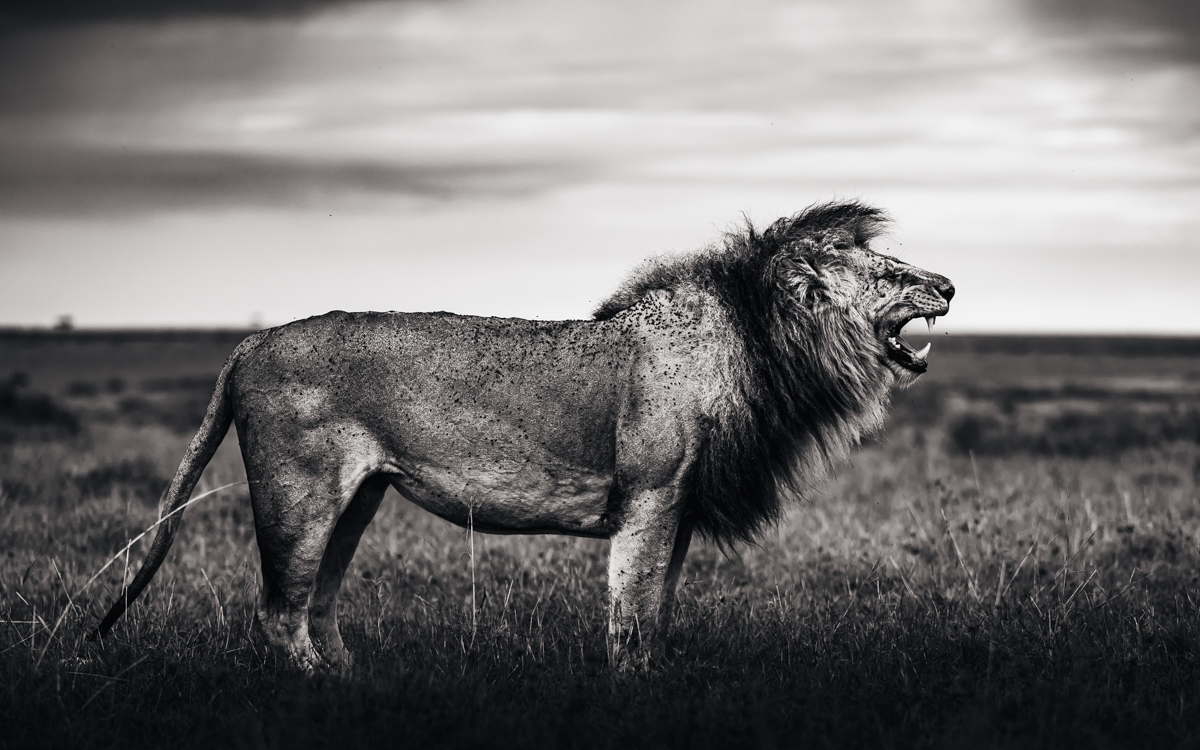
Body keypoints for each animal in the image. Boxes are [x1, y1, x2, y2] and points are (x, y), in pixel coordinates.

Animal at [93, 201, 953, 670]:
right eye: (885, 270)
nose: (947, 284)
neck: (762, 343)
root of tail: (247, 342)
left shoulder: (678, 510)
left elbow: (657, 616)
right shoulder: (650, 499)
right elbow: (629, 620)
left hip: (357, 499)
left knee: (318, 607)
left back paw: (357, 688)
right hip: (297, 494)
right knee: (279, 611)